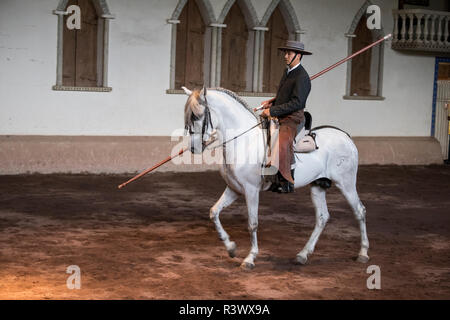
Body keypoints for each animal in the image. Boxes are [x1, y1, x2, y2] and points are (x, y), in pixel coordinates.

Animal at [181, 85, 368, 270]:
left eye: (197, 116)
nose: (193, 148)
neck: (244, 141)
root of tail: (345, 137)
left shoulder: (251, 190)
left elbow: (252, 224)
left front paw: (250, 258)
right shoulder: (234, 188)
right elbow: (214, 212)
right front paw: (231, 248)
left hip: (346, 183)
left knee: (359, 210)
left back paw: (363, 253)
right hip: (319, 185)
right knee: (322, 217)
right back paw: (302, 255)